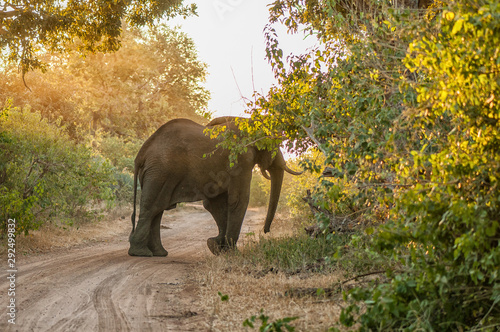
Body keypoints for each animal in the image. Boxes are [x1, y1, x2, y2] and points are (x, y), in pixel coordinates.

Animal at [129, 116, 300, 256]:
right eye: (274, 145)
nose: (266, 231)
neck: (248, 122)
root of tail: (141, 153)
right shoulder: (240, 160)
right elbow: (238, 200)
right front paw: (232, 252)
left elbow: (215, 204)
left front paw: (215, 246)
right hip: (161, 171)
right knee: (153, 208)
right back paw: (141, 253)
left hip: (156, 172)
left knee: (157, 209)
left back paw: (159, 253)